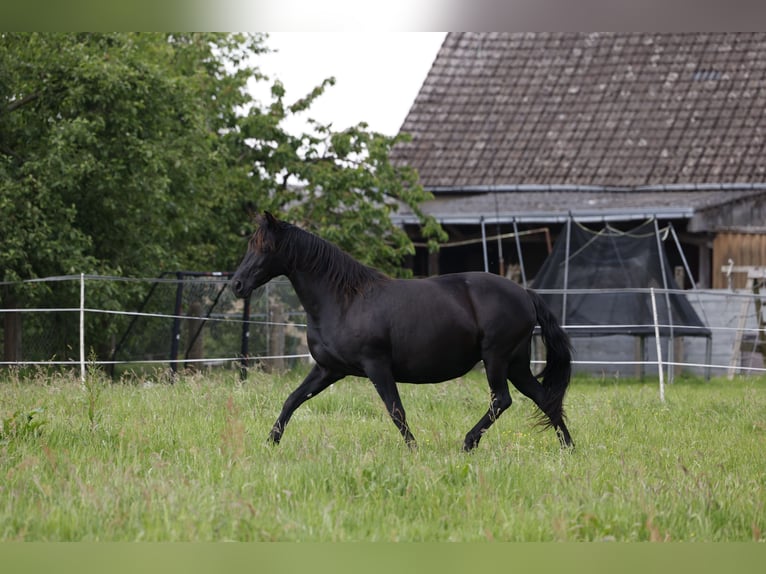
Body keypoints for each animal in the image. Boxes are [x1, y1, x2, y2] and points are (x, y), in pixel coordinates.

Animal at [231, 214, 572, 452]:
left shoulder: (376, 366)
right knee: (544, 399)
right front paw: (270, 443)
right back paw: (568, 449)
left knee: (502, 399)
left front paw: (414, 450)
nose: (237, 284)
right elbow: (291, 400)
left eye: (265, 247)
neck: (344, 301)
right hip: (516, 364)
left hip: (496, 359)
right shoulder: (328, 369)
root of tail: (525, 293)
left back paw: (468, 442)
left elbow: (396, 411)